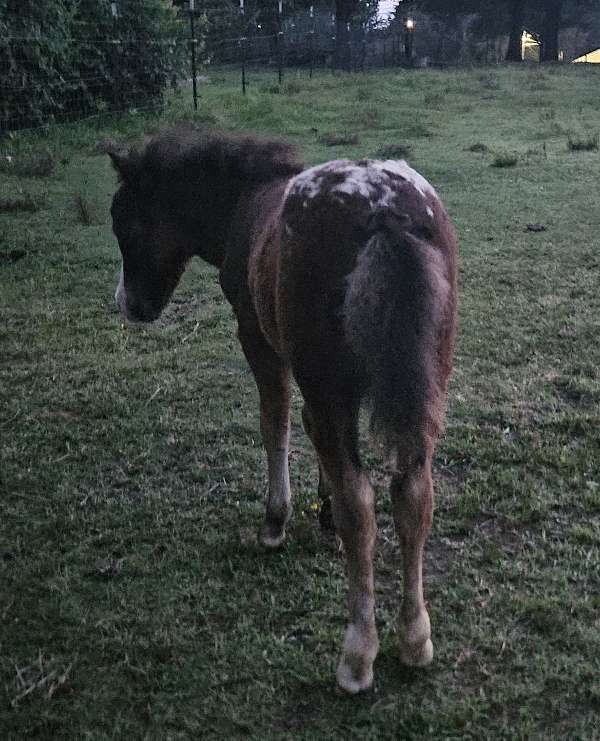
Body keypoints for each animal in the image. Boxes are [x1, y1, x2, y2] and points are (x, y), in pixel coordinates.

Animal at [107, 127, 458, 694]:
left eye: (121, 219)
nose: (129, 305)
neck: (244, 205)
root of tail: (384, 212)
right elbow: (317, 441)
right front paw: (323, 508)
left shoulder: (259, 339)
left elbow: (276, 423)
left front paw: (275, 522)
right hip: (426, 383)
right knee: (413, 492)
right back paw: (415, 639)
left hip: (330, 378)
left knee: (363, 503)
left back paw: (357, 656)